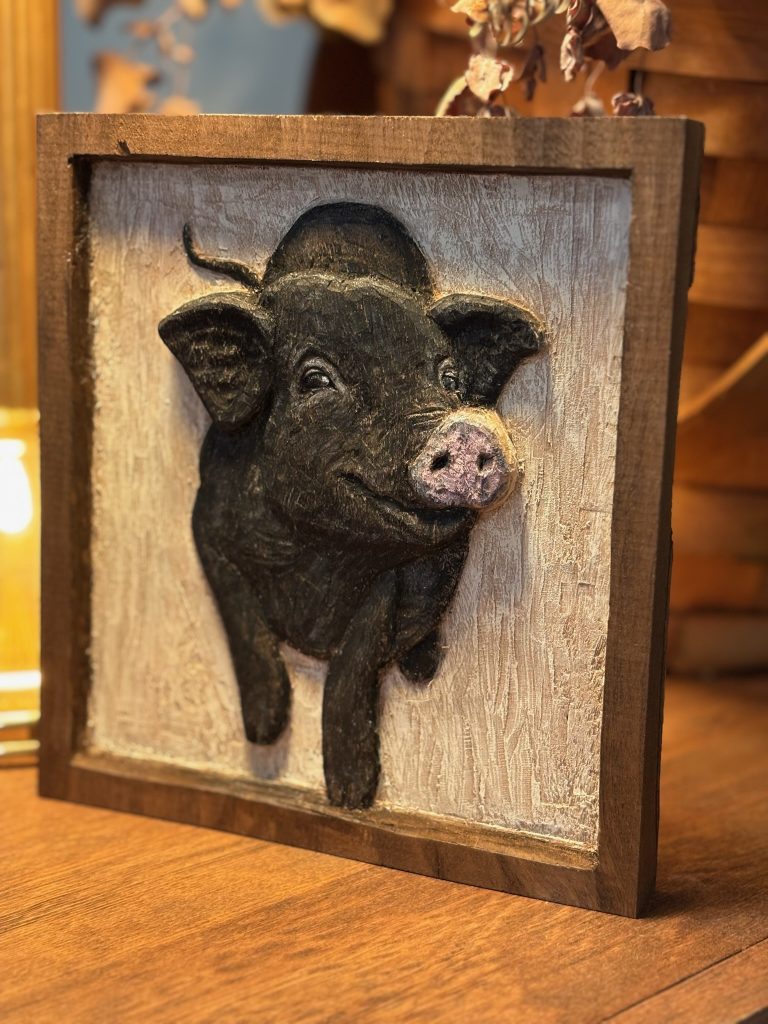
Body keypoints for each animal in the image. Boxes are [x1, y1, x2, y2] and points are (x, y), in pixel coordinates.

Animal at [159, 202, 542, 810]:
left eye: (449, 378)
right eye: (316, 378)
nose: (463, 429)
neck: (315, 550)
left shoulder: (386, 584)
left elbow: (353, 666)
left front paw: (350, 796)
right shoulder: (206, 529)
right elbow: (243, 622)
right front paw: (263, 733)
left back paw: (422, 669)